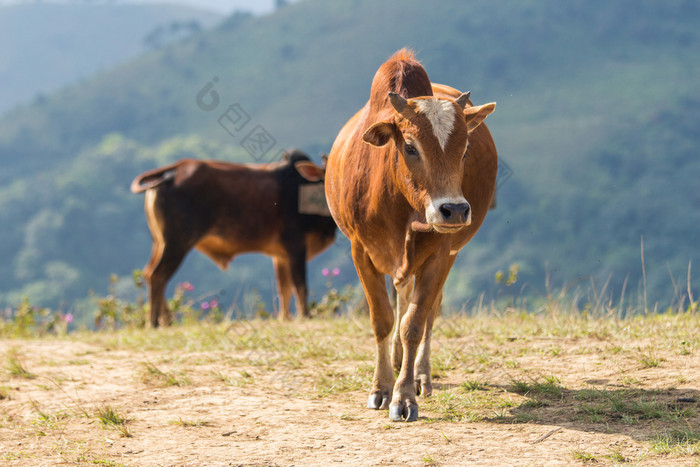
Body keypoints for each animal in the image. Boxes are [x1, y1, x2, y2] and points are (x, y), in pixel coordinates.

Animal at [133, 152, 340, 328]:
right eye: (325, 176)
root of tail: (174, 170)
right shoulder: (296, 247)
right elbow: (300, 286)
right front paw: (304, 316)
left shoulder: (281, 256)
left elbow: (284, 288)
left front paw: (285, 318)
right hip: (177, 242)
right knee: (158, 275)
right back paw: (154, 322)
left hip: (160, 242)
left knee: (149, 274)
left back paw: (166, 321)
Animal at [324, 49, 498, 422]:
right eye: (410, 146)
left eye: (465, 149)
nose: (454, 210)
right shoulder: (360, 251)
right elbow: (383, 319)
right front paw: (381, 388)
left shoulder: (441, 253)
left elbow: (414, 323)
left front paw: (403, 396)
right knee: (401, 298)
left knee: (428, 312)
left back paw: (419, 374)